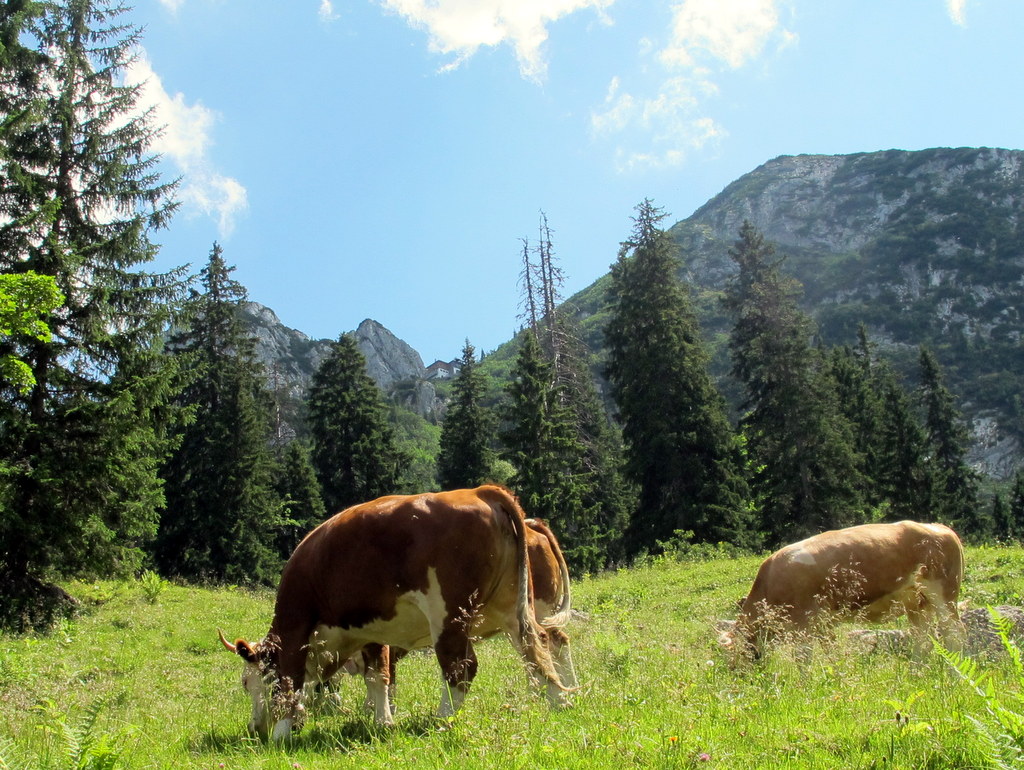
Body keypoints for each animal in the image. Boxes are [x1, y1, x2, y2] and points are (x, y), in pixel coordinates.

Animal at [218, 487, 569, 741]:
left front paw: (282, 733)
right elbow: (379, 677)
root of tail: (481, 491)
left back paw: (443, 720)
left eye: (248, 683)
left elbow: (290, 681)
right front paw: (382, 721)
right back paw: (560, 701)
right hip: (514, 610)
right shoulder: (370, 631)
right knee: (537, 647)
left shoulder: (296, 626)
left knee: (461, 667)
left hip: (449, 616)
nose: (254, 729)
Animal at [720, 520, 966, 659]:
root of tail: (939, 527)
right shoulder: (823, 623)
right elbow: (831, 653)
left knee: (955, 634)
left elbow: (803, 658)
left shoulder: (803, 623)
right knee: (923, 639)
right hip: (915, 603)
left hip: (944, 594)